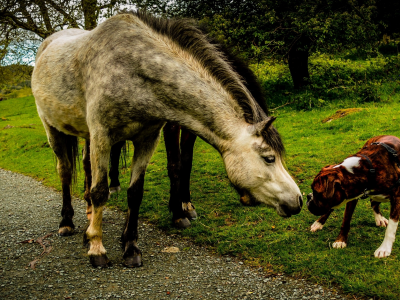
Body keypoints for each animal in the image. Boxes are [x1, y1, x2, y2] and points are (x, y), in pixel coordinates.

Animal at [32, 11, 300, 268]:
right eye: (269, 158)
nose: (297, 201)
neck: (133, 70)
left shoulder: (147, 139)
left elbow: (136, 192)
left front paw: (131, 247)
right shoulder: (103, 136)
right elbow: (101, 191)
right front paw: (97, 249)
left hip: (87, 136)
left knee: (87, 166)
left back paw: (89, 216)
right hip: (54, 129)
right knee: (66, 171)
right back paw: (67, 222)